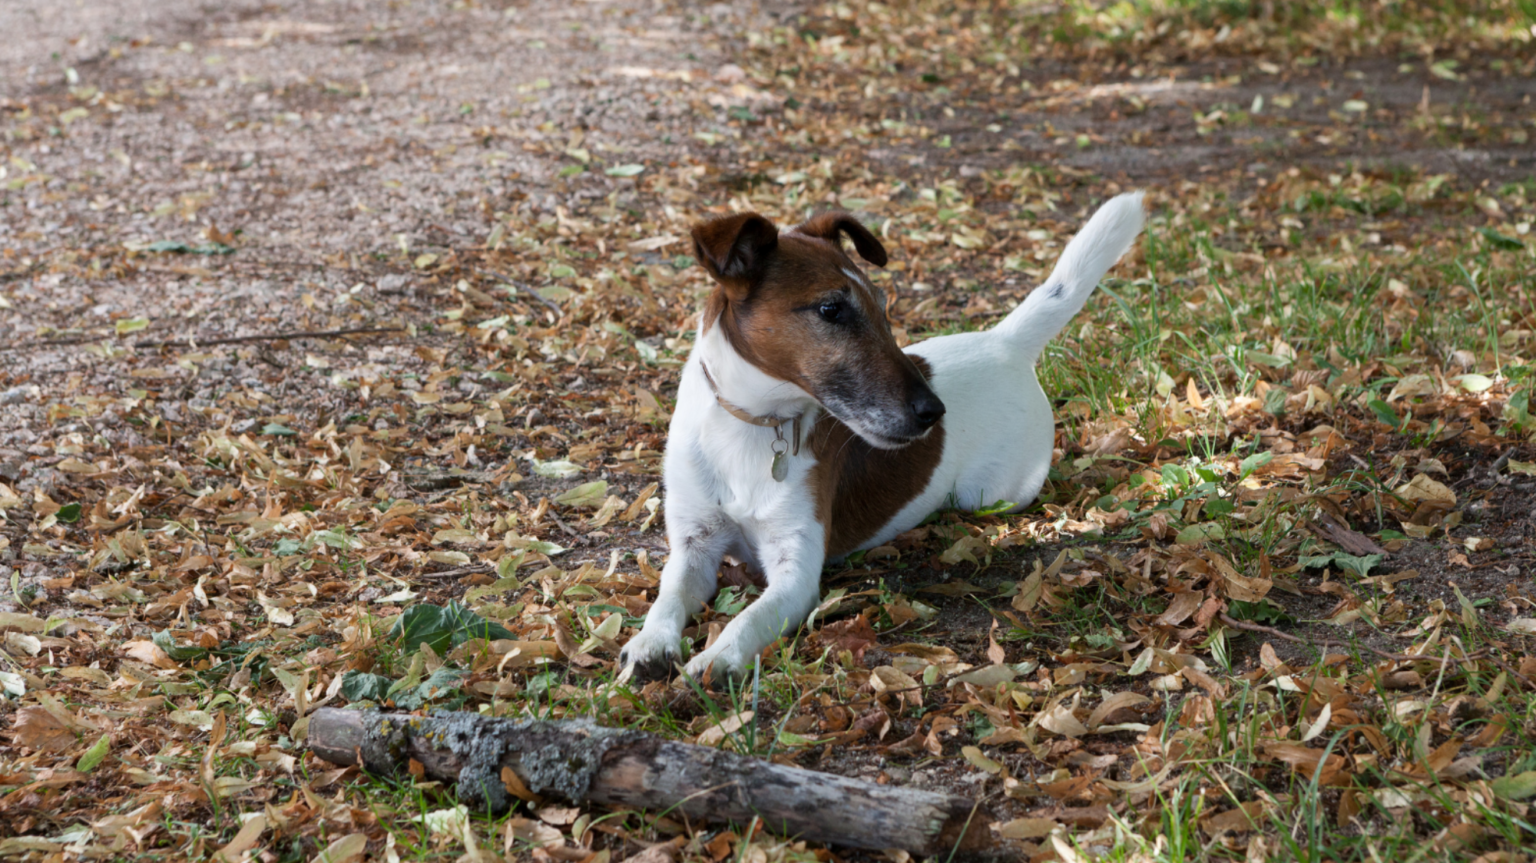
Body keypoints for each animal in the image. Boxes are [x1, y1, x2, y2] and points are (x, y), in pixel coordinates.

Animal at [617, 191, 1148, 681]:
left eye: (884, 309)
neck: (751, 425)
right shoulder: (694, 544)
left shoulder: (795, 570)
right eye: (831, 309)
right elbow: (667, 598)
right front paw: (649, 644)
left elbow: (748, 619)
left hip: (999, 494)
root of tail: (1005, 340)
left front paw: (716, 659)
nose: (934, 411)